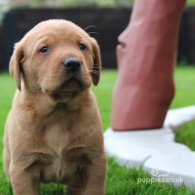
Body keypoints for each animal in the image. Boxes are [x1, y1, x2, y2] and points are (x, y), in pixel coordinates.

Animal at [2, 18, 106, 195]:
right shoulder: (23, 169)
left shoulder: (94, 162)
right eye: (44, 49)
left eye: (82, 46)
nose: (73, 63)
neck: (59, 112)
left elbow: (93, 189)